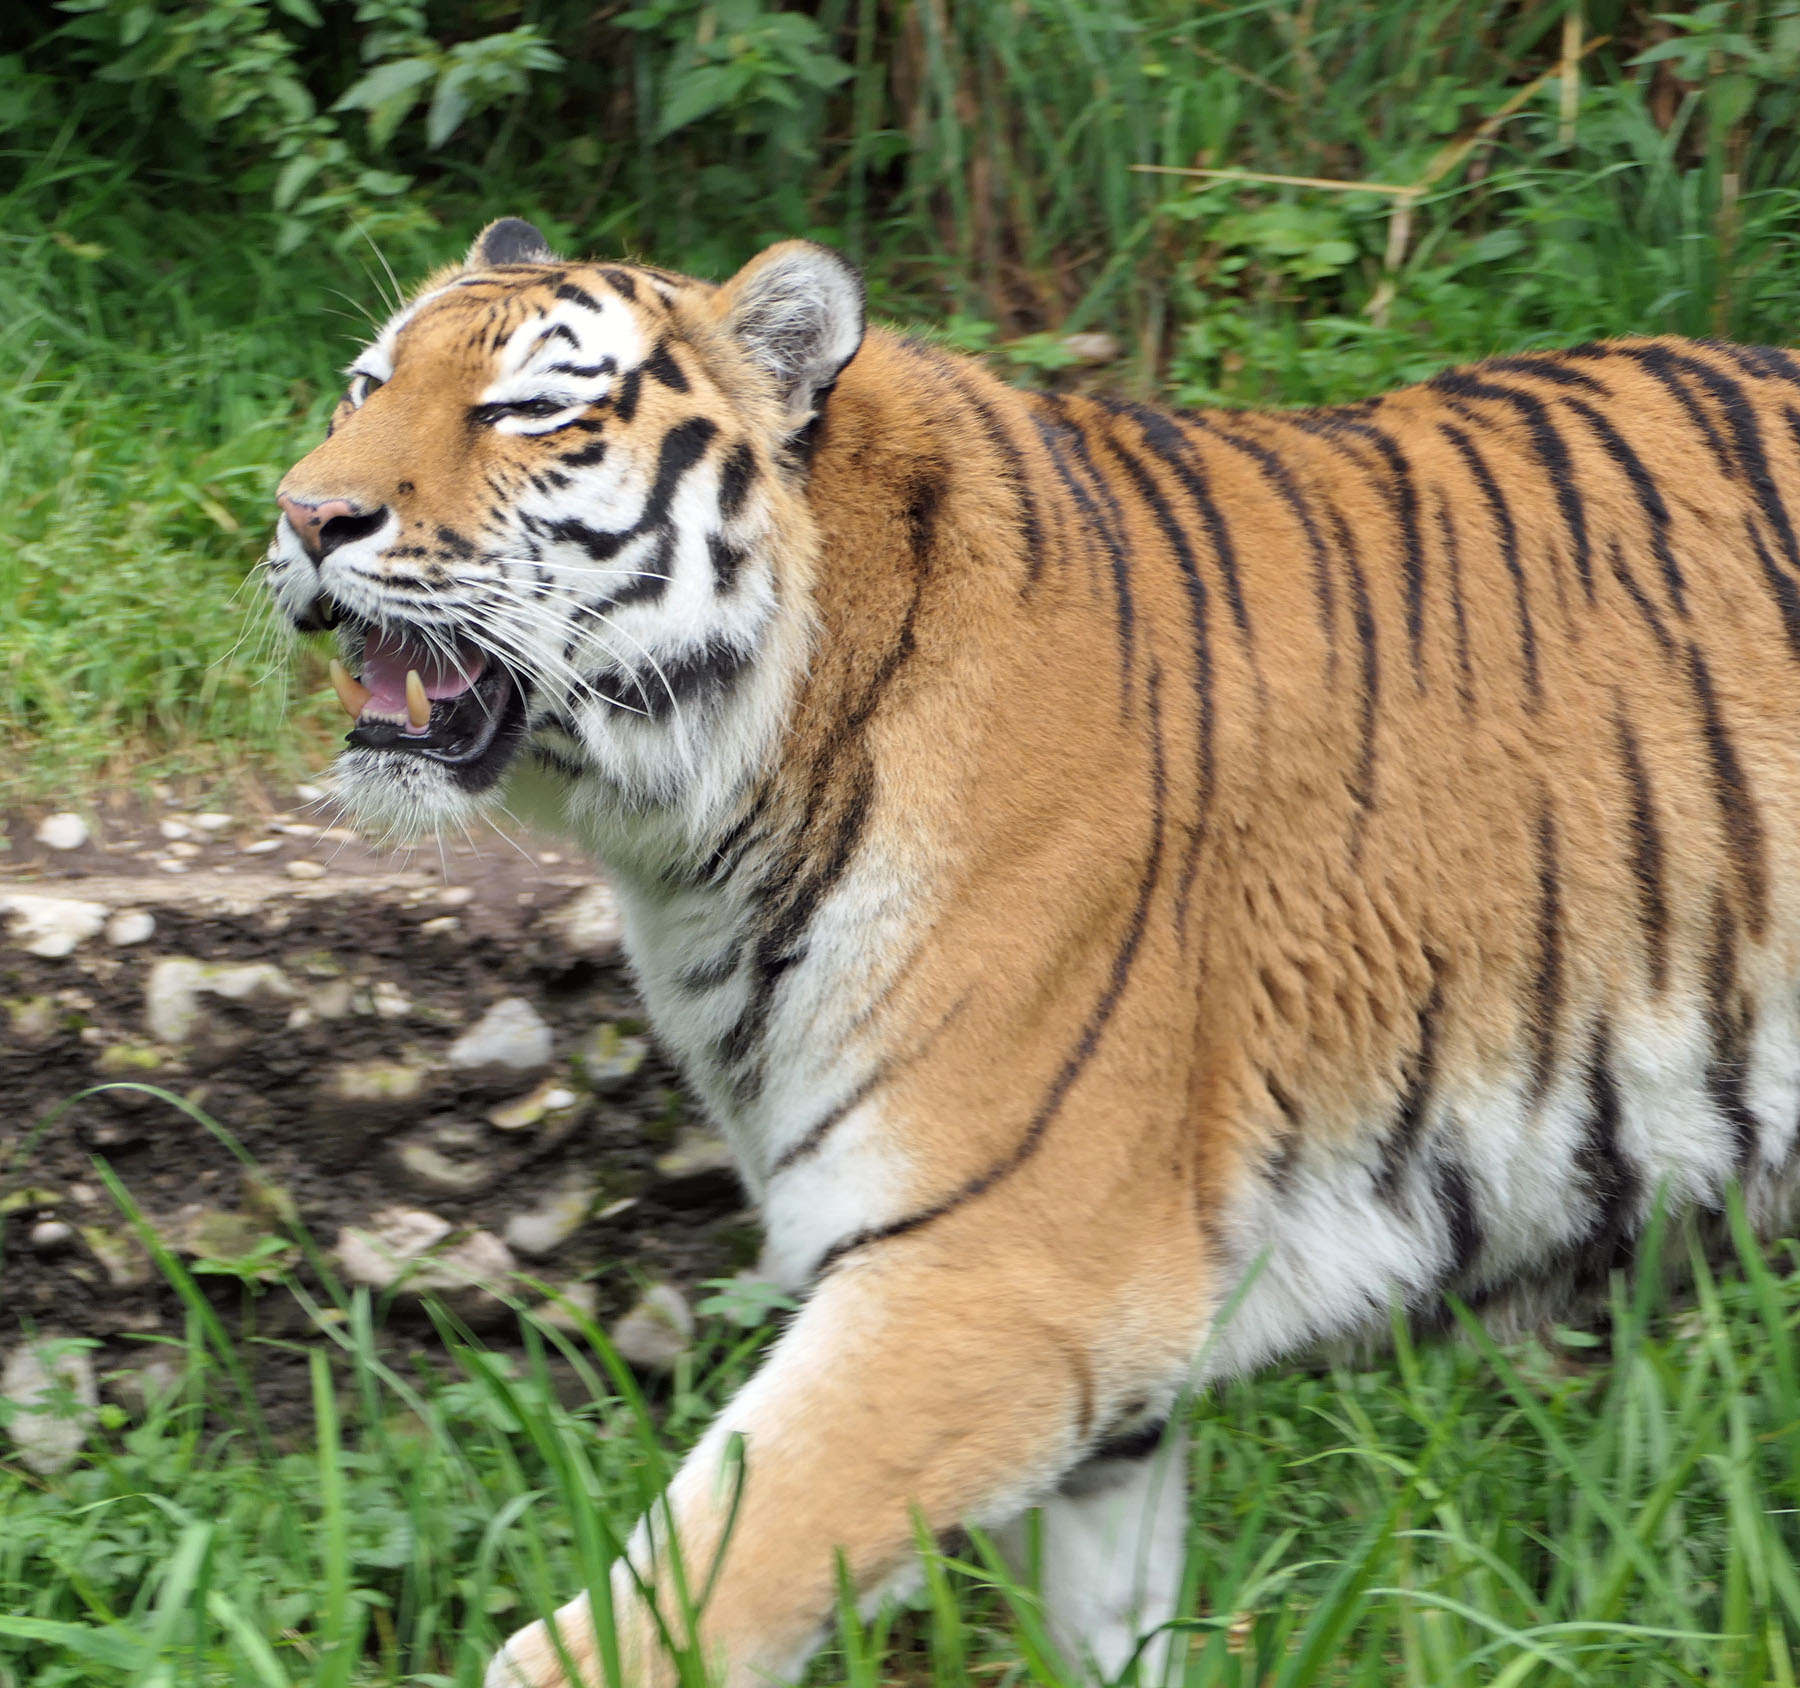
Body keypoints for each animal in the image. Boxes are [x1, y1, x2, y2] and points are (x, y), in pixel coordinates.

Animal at [263, 214, 1800, 1688]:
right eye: (365, 386)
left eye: (529, 412)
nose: (306, 513)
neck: (720, 819)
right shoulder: (1097, 1378)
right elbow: (1111, 1625)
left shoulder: (1002, 1278)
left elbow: (682, 1599)